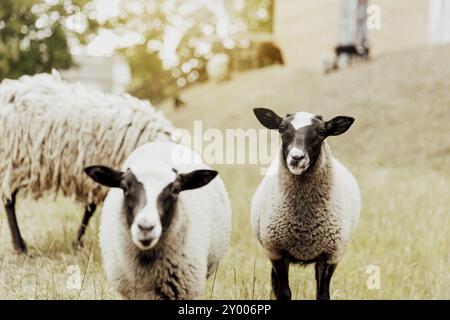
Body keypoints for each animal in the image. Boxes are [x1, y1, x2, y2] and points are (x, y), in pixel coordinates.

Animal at [0, 71, 176, 254]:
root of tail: (7, 91)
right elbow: (92, 209)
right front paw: (79, 243)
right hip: (14, 161)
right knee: (9, 200)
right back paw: (19, 246)